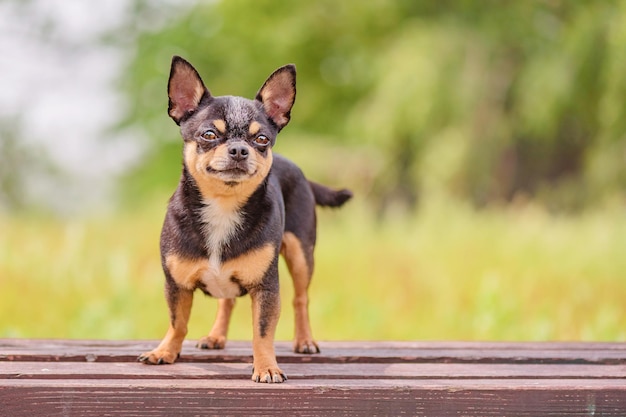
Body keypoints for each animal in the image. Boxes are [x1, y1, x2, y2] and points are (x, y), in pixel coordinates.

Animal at [138, 57, 352, 382]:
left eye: (261, 139)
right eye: (209, 135)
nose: (239, 149)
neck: (223, 206)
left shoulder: (266, 288)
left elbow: (262, 332)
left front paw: (266, 367)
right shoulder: (176, 284)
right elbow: (178, 321)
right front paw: (165, 351)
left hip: (301, 255)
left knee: (300, 299)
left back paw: (304, 340)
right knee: (226, 301)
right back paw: (216, 336)